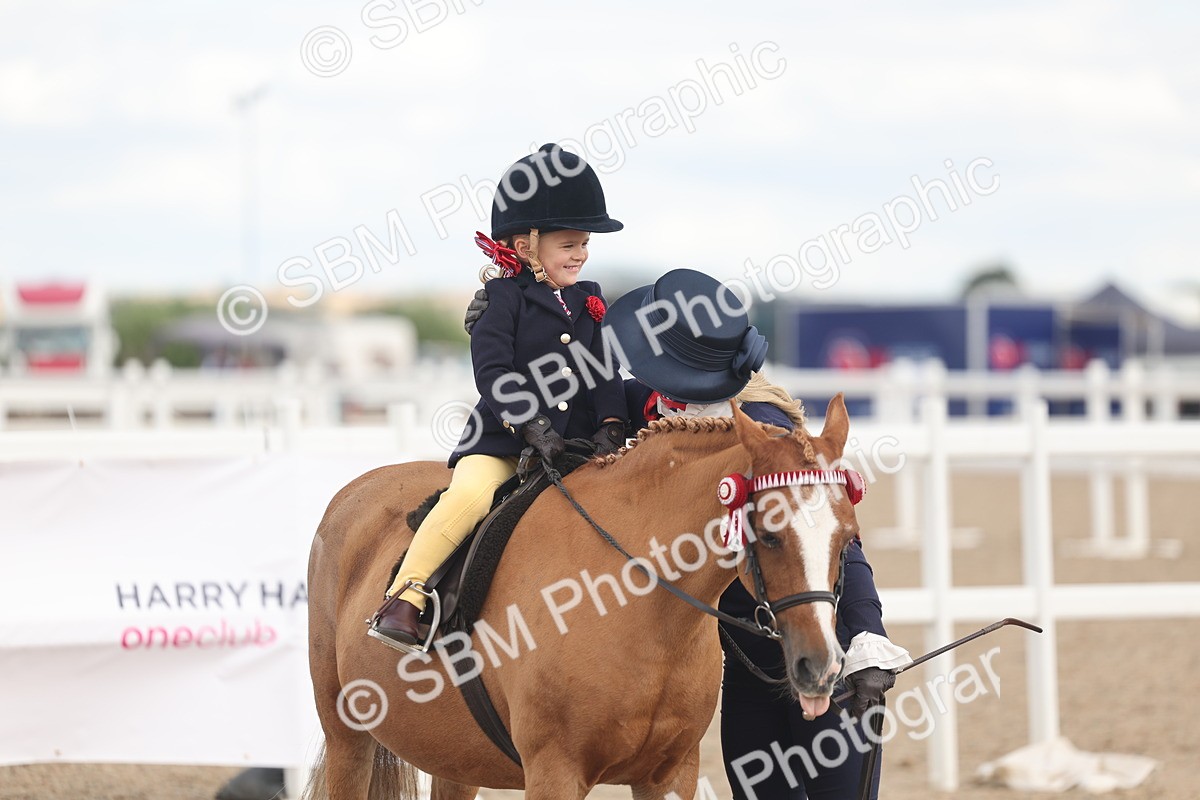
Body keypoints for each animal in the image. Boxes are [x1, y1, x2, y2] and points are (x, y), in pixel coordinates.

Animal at [304, 394, 863, 800]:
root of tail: (357, 488)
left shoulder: (669, 775)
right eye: (769, 535)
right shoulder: (555, 772)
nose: (821, 667)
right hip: (346, 735)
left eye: (848, 538)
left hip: (453, 757)